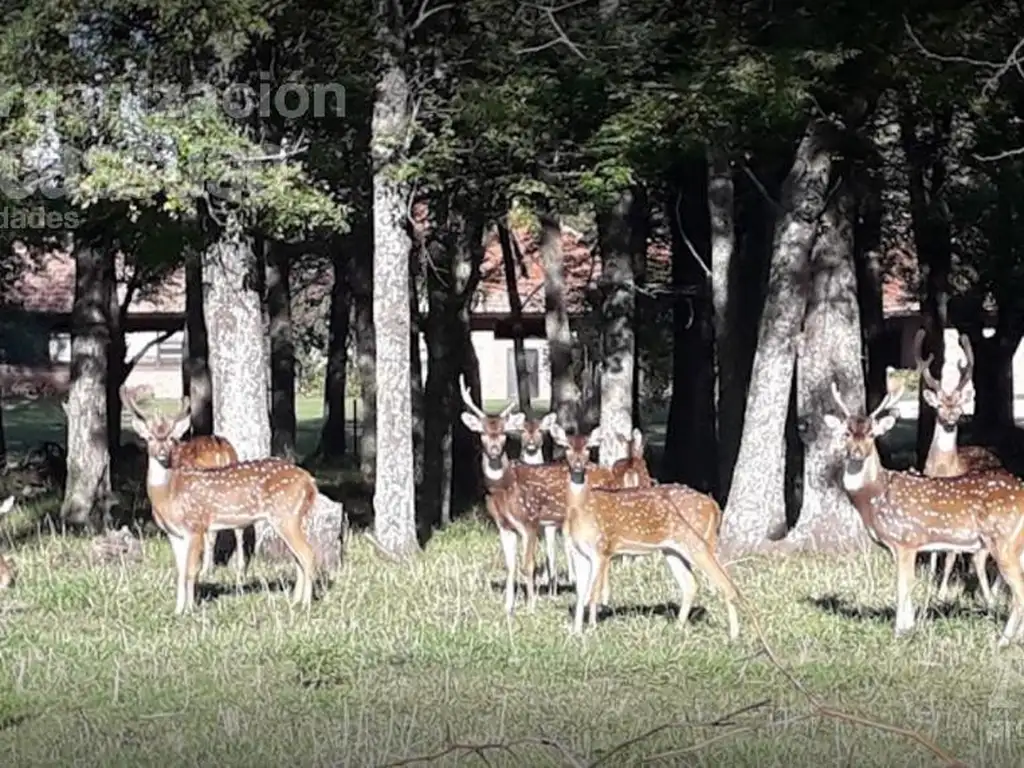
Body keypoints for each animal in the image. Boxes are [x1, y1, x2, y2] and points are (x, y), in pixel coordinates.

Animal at [126, 393, 321, 618]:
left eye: (171, 439)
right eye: (149, 438)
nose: (162, 453)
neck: (168, 495)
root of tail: (309, 481)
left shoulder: (196, 525)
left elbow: (191, 571)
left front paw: (189, 610)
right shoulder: (173, 533)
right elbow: (180, 571)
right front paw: (177, 610)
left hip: (286, 515)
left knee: (308, 554)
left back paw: (305, 604)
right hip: (291, 517)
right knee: (298, 558)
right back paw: (295, 601)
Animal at [548, 421, 741, 638]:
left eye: (589, 448)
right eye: (567, 447)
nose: (578, 465)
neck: (581, 510)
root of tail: (714, 506)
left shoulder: (602, 548)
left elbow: (593, 593)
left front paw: (592, 629)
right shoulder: (579, 551)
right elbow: (581, 593)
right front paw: (576, 632)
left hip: (698, 543)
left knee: (727, 582)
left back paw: (733, 635)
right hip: (673, 549)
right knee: (691, 584)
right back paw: (678, 628)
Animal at [819, 380, 1024, 643]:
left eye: (872, 434)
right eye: (846, 433)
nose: (856, 453)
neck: (874, 497)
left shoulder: (905, 539)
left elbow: (903, 585)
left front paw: (900, 632)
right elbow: (908, 584)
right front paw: (909, 628)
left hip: (1003, 541)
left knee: (1018, 591)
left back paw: (1003, 640)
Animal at [917, 331, 1003, 606]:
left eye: (958, 403)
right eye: (940, 405)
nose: (952, 418)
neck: (943, 469)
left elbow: (950, 556)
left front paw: (942, 592)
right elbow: (934, 552)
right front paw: (930, 583)